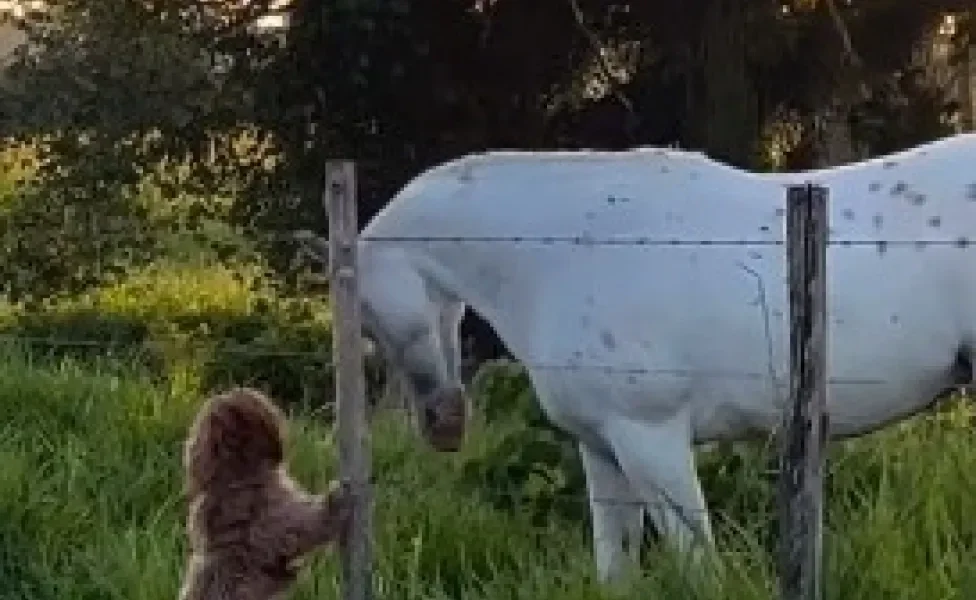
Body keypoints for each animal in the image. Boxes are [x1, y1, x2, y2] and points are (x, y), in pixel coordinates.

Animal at [302, 131, 976, 580]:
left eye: (365, 313)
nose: (444, 424)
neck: (559, 253)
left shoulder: (651, 439)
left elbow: (697, 564)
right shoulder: (602, 448)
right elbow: (616, 567)